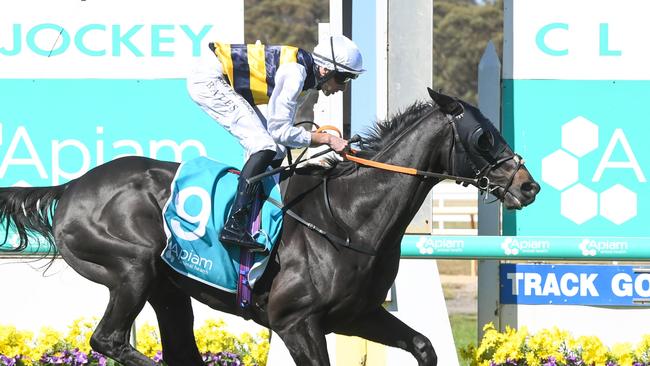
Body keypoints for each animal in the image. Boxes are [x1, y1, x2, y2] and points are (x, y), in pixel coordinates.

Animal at [0, 89, 536, 366]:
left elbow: (424, 347)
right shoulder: (294, 322)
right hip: (130, 267)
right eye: (484, 136)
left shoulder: (358, 315)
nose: (528, 186)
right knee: (108, 340)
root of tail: (72, 186)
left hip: (167, 288)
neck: (348, 217)